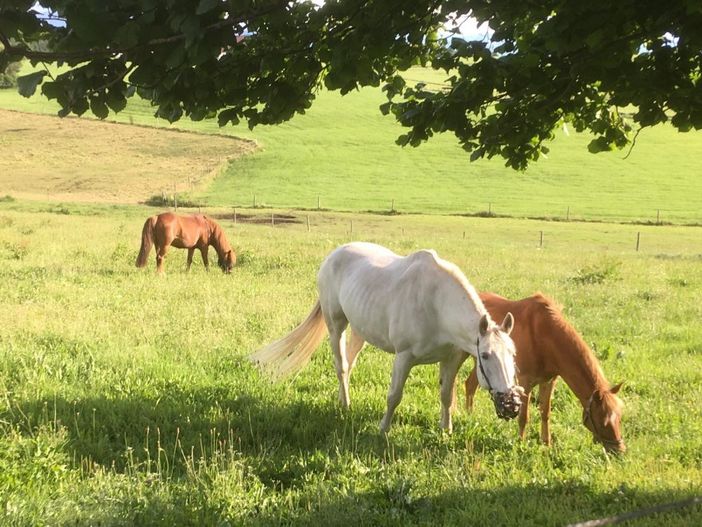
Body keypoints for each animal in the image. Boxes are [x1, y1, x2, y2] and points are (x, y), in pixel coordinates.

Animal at [253, 243, 524, 434]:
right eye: (486, 356)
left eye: (513, 355)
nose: (512, 404)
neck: (436, 304)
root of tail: (333, 255)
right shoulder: (404, 357)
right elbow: (394, 395)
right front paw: (383, 429)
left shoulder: (450, 359)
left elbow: (446, 395)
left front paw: (446, 429)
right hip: (336, 325)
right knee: (341, 366)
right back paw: (346, 405)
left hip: (360, 330)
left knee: (349, 363)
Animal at [468, 292, 628, 454]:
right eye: (603, 422)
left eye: (620, 417)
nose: (620, 450)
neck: (543, 334)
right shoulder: (525, 382)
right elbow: (523, 417)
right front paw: (520, 443)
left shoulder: (549, 380)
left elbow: (545, 413)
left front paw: (546, 443)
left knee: (469, 385)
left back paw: (470, 417)